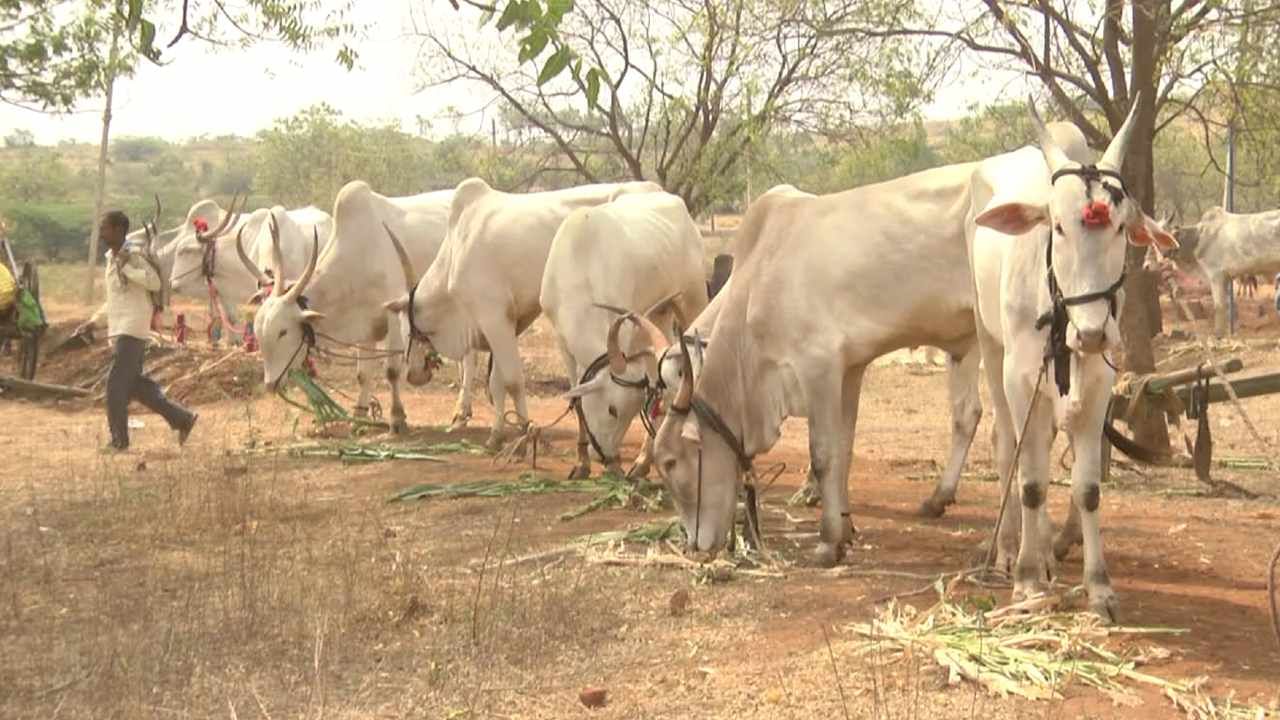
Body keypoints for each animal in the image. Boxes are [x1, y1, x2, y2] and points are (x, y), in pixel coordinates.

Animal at [537, 190, 711, 476]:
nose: (607, 458)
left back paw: (643, 462)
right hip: (660, 314)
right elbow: (576, 393)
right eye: (612, 410)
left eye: (629, 413)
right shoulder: (562, 342)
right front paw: (581, 462)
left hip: (693, 299)